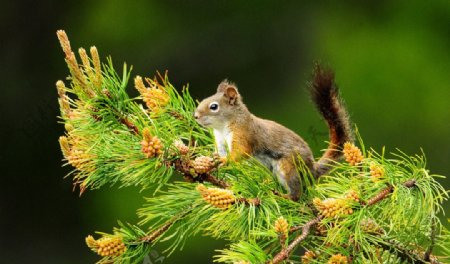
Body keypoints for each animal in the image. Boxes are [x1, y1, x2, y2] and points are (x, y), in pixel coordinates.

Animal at [193, 64, 352, 200]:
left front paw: (225, 160)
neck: (222, 128)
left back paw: (284, 196)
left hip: (288, 167)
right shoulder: (220, 142)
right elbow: (220, 153)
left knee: (296, 193)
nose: (195, 116)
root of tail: (312, 170)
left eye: (214, 106)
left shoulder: (243, 134)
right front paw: (212, 159)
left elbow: (240, 152)